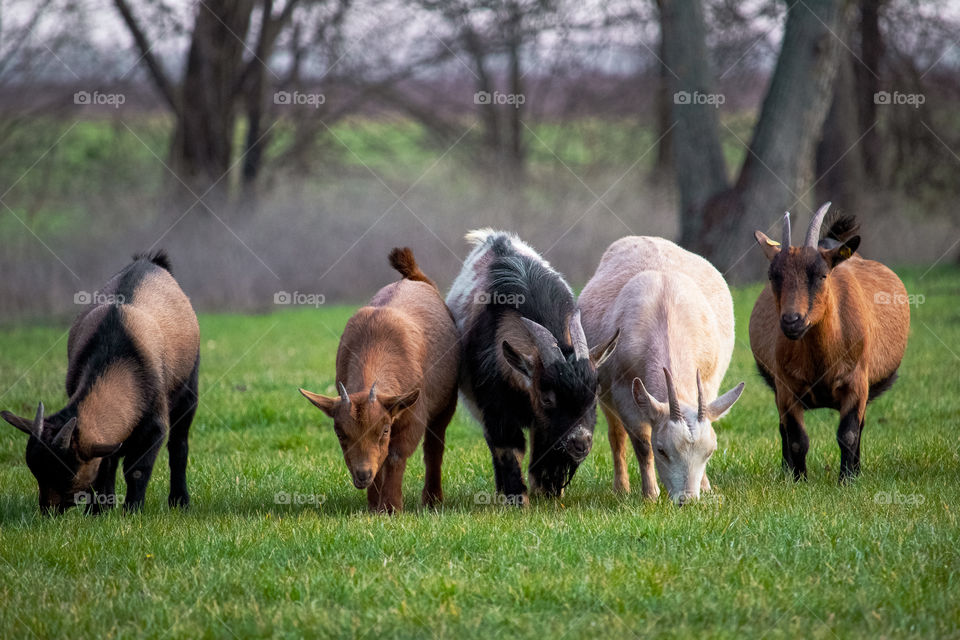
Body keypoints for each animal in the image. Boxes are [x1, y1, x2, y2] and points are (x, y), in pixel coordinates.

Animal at [1, 252, 201, 512]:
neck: (117, 352)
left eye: (68, 474)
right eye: (36, 471)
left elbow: (137, 469)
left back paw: (179, 500)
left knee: (179, 445)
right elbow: (105, 465)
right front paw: (98, 510)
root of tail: (150, 261)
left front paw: (132, 510)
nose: (48, 511)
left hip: (188, 389)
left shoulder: (154, 425)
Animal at [302, 248, 464, 512]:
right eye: (339, 433)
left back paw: (432, 500)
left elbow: (396, 455)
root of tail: (415, 277)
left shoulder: (413, 414)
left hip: (446, 403)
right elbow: (380, 461)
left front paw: (391, 507)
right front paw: (373, 506)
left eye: (385, 429)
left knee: (434, 447)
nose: (362, 475)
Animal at [446, 230, 620, 504]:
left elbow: (543, 448)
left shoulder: (544, 424)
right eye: (547, 399)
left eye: (594, 396)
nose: (580, 443)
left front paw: (547, 492)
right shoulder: (497, 406)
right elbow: (508, 447)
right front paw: (517, 499)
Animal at [572, 239, 748, 504]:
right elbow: (642, 444)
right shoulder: (625, 392)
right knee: (616, 435)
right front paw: (651, 495)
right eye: (662, 450)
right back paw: (621, 488)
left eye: (710, 452)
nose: (687, 500)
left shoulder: (708, 383)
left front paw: (706, 487)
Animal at [752, 202, 908, 482]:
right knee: (783, 429)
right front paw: (798, 480)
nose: (792, 321)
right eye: (773, 276)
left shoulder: (856, 384)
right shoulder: (786, 388)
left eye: (822, 275)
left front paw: (847, 479)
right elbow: (796, 439)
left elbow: (849, 434)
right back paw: (785, 472)